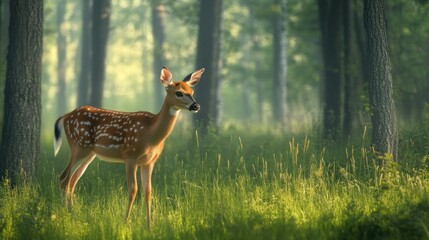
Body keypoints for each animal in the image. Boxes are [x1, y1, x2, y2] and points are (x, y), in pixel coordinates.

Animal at [53, 66, 204, 230]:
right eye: (179, 92)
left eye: (192, 91)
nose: (196, 106)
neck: (151, 133)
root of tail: (66, 116)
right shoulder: (130, 156)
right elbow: (133, 190)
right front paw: (125, 223)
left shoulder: (149, 161)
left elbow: (148, 191)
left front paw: (150, 227)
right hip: (79, 146)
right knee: (64, 178)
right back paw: (66, 215)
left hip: (90, 153)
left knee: (72, 180)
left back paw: (73, 214)